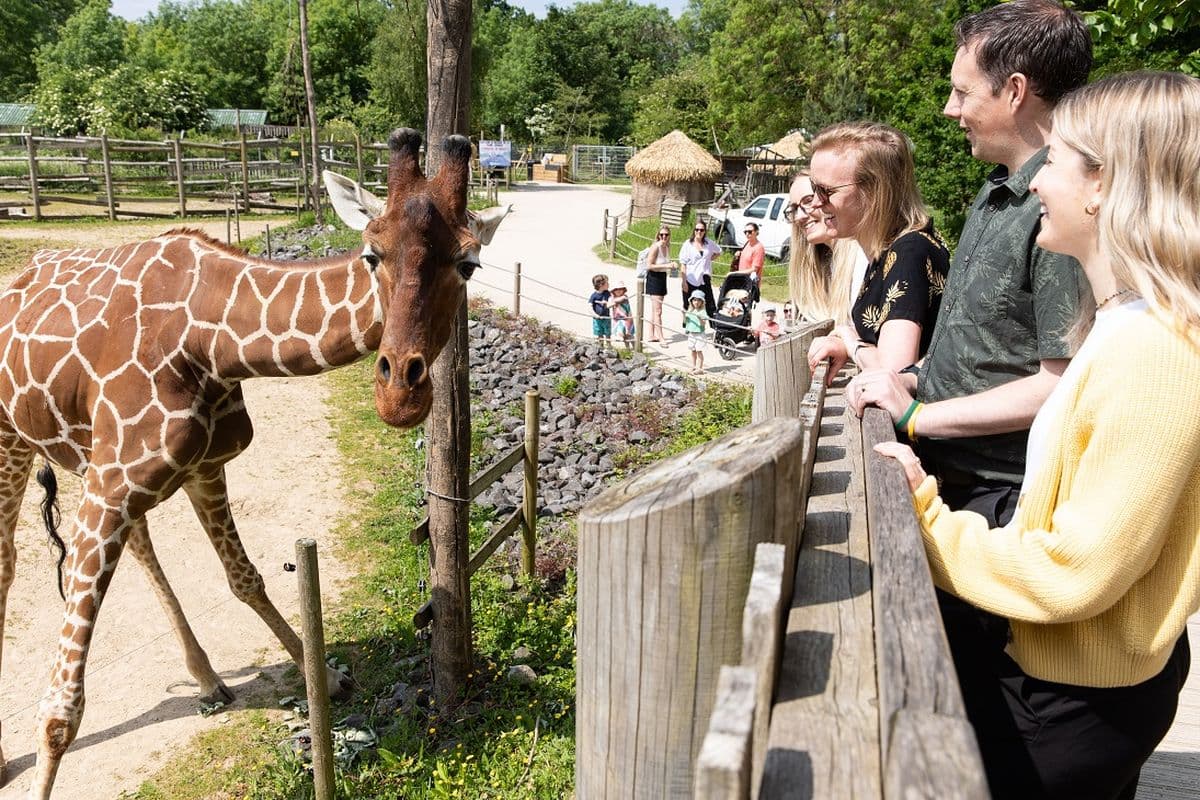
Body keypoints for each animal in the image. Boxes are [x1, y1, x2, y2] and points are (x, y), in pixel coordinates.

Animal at [0, 129, 508, 799]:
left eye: (469, 264)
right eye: (372, 254)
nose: (400, 391)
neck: (210, 339)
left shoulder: (193, 467)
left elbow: (245, 578)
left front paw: (328, 679)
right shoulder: (112, 488)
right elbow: (62, 709)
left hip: (89, 457)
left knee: (138, 542)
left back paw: (207, 677)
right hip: (13, 441)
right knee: (6, 563)